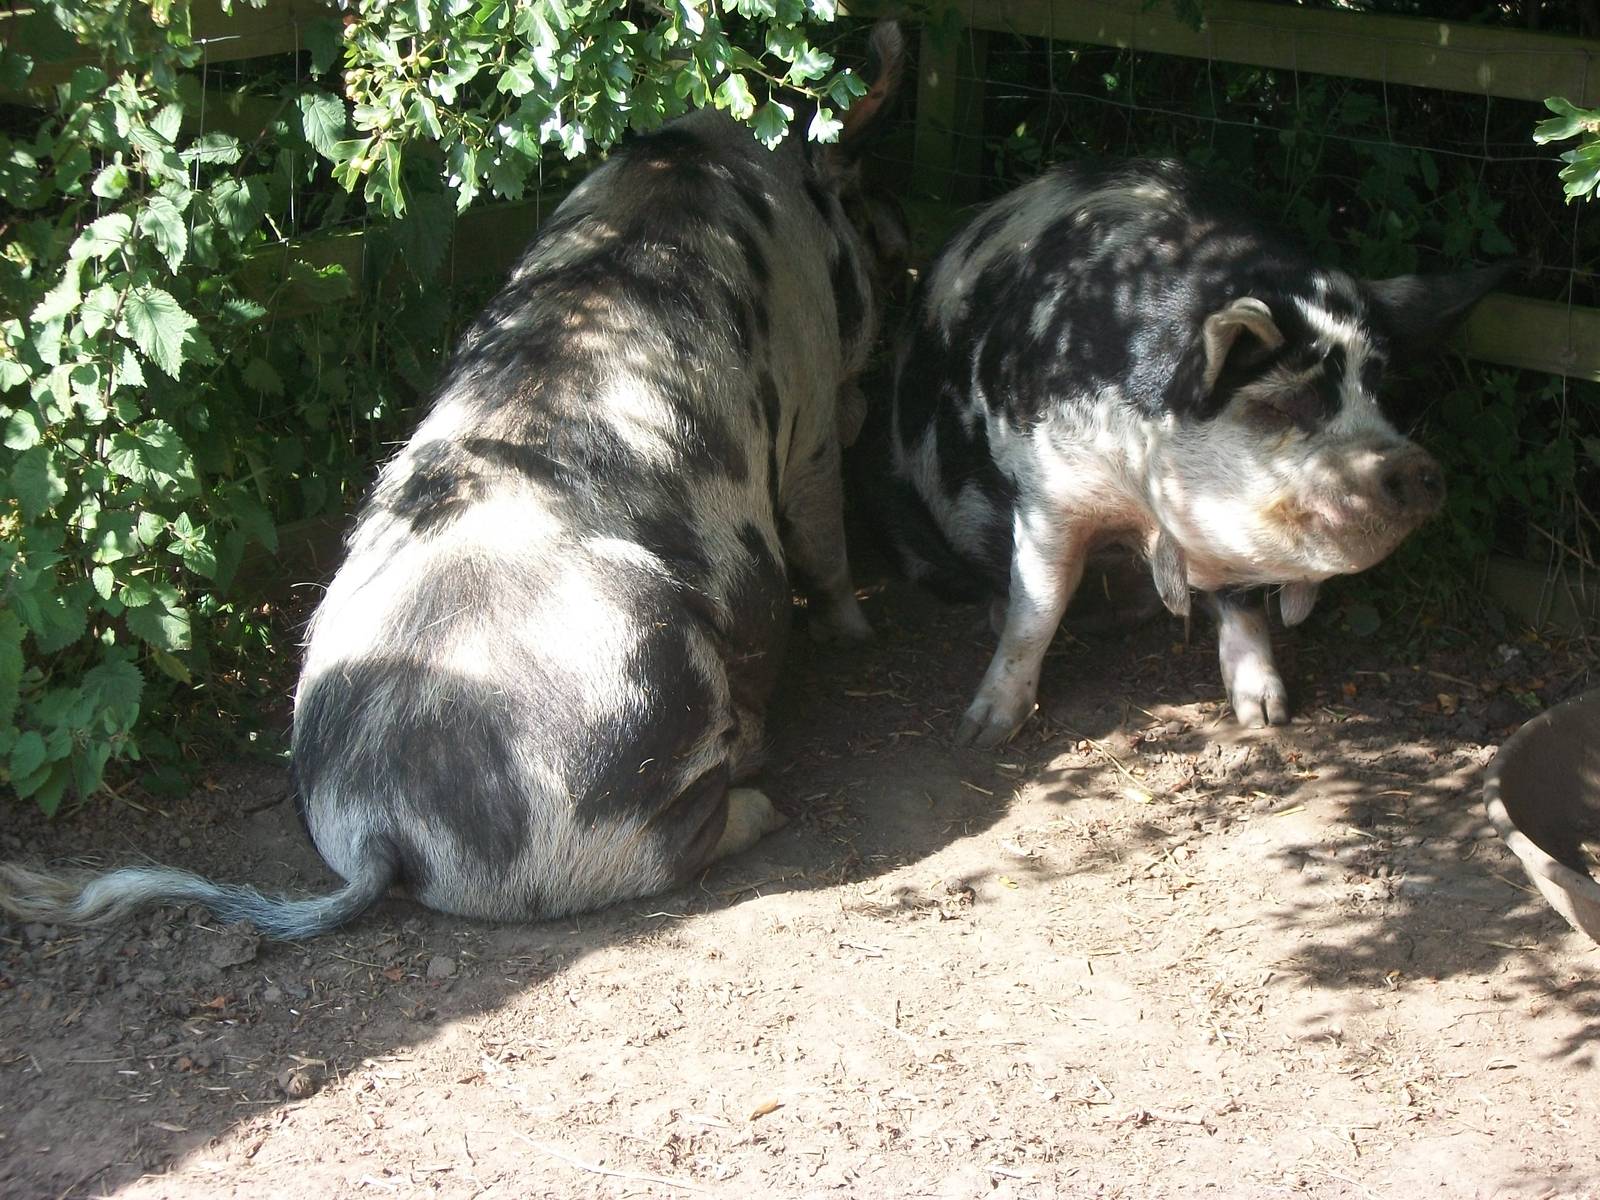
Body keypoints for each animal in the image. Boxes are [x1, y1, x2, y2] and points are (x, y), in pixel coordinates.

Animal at [0, 26, 905, 937]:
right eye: (858, 207)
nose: (898, 263)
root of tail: (384, 826)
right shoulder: (812, 403)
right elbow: (821, 530)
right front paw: (856, 633)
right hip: (646, 712)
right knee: (681, 843)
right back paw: (767, 804)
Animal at [872, 158, 1512, 746]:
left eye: (1380, 393)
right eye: (1289, 400)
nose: (1416, 466)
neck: (1141, 513)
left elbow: (1246, 605)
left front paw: (1267, 717)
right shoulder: (1044, 490)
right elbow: (1038, 606)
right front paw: (982, 734)